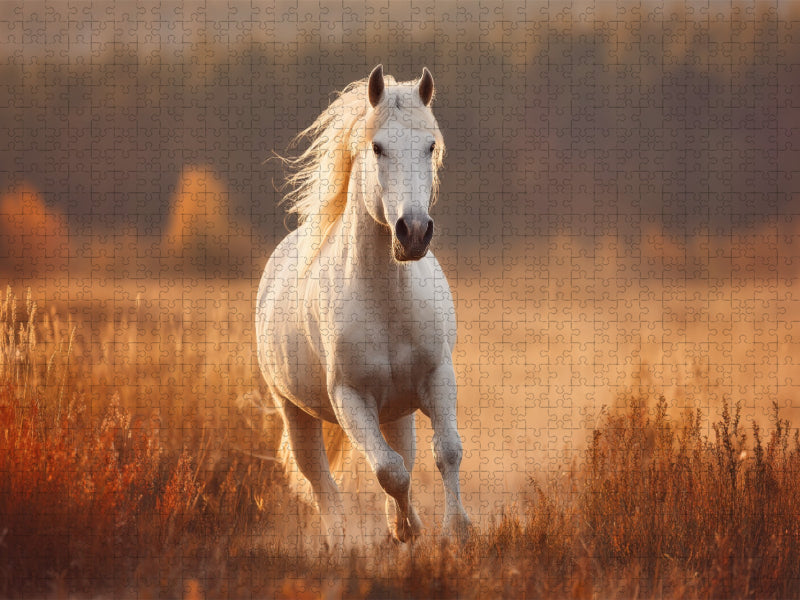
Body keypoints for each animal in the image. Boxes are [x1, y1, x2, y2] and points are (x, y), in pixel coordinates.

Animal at [256, 64, 470, 546]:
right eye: (377, 147)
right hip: (296, 413)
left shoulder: (437, 376)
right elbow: (389, 471)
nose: (414, 232)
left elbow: (446, 452)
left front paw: (455, 530)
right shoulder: (350, 399)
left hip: (398, 413)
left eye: (430, 145)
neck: (387, 303)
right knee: (320, 481)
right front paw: (407, 530)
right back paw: (341, 541)